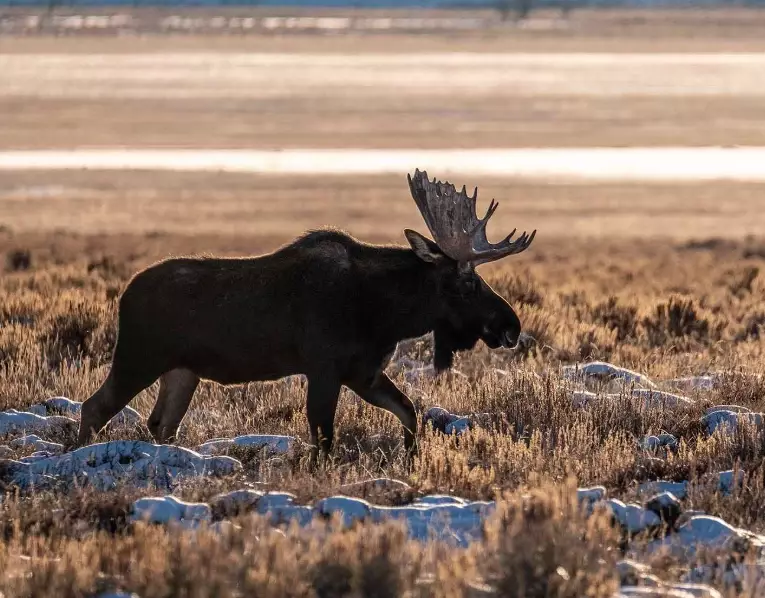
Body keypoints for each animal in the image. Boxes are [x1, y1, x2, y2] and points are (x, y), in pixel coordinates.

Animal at [77, 169, 536, 465]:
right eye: (467, 282)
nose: (510, 326)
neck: (386, 312)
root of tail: (124, 295)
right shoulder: (325, 368)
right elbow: (324, 439)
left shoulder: (364, 372)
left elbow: (409, 414)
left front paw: (412, 460)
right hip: (139, 357)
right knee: (94, 407)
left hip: (182, 372)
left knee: (160, 423)